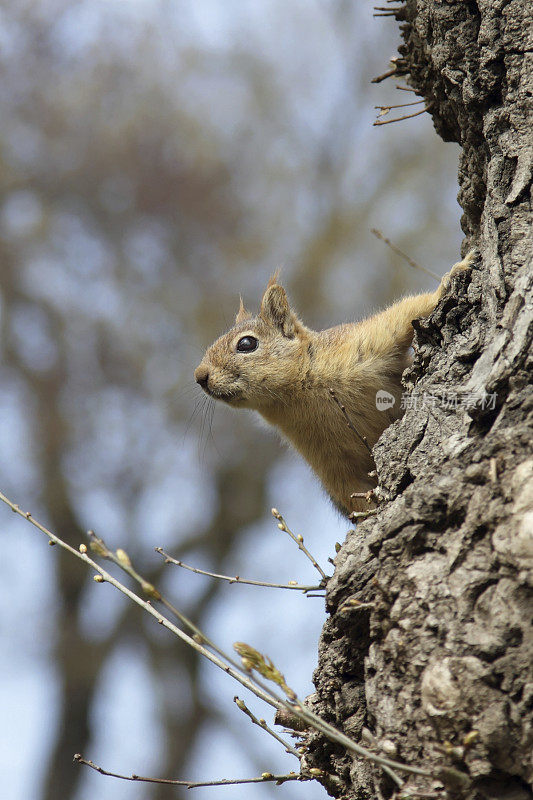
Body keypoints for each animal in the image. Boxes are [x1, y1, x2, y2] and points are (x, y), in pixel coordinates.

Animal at [194, 253, 474, 516]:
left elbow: (409, 310)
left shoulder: (365, 342)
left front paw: (456, 272)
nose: (199, 376)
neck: (300, 394)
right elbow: (352, 492)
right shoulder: (331, 463)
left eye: (246, 344)